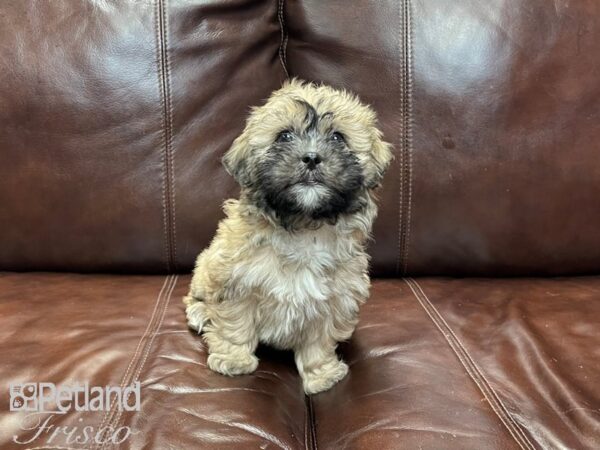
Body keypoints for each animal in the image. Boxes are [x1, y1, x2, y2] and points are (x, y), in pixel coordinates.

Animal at [185, 78, 396, 394]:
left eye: (338, 138)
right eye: (284, 136)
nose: (311, 157)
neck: (304, 227)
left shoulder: (334, 299)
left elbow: (319, 340)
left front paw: (321, 374)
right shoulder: (235, 281)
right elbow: (235, 323)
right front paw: (233, 359)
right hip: (206, 265)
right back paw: (200, 313)